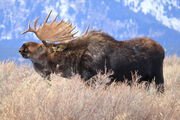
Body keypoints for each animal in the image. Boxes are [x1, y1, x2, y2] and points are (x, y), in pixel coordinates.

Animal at [19, 10, 165, 92]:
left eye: (41, 47)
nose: (22, 47)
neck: (73, 63)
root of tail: (163, 49)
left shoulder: (95, 79)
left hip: (158, 77)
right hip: (144, 81)